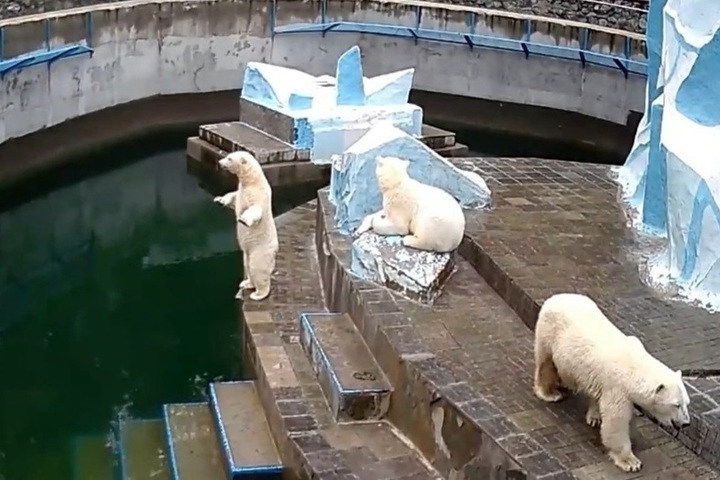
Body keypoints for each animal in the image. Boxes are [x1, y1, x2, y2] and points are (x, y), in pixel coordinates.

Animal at [212, 150, 278, 300]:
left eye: (229, 158)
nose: (219, 162)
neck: (253, 182)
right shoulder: (241, 192)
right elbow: (233, 197)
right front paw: (220, 199)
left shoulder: (259, 196)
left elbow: (255, 210)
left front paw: (243, 219)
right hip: (247, 255)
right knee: (247, 266)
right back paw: (246, 283)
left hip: (260, 250)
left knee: (257, 268)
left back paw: (258, 294)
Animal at [536, 292, 692, 472]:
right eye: (676, 404)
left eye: (687, 402)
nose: (686, 423)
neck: (635, 366)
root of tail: (556, 297)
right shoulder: (618, 388)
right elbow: (616, 422)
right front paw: (631, 461)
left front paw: (595, 417)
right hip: (549, 332)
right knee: (546, 363)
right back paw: (550, 393)